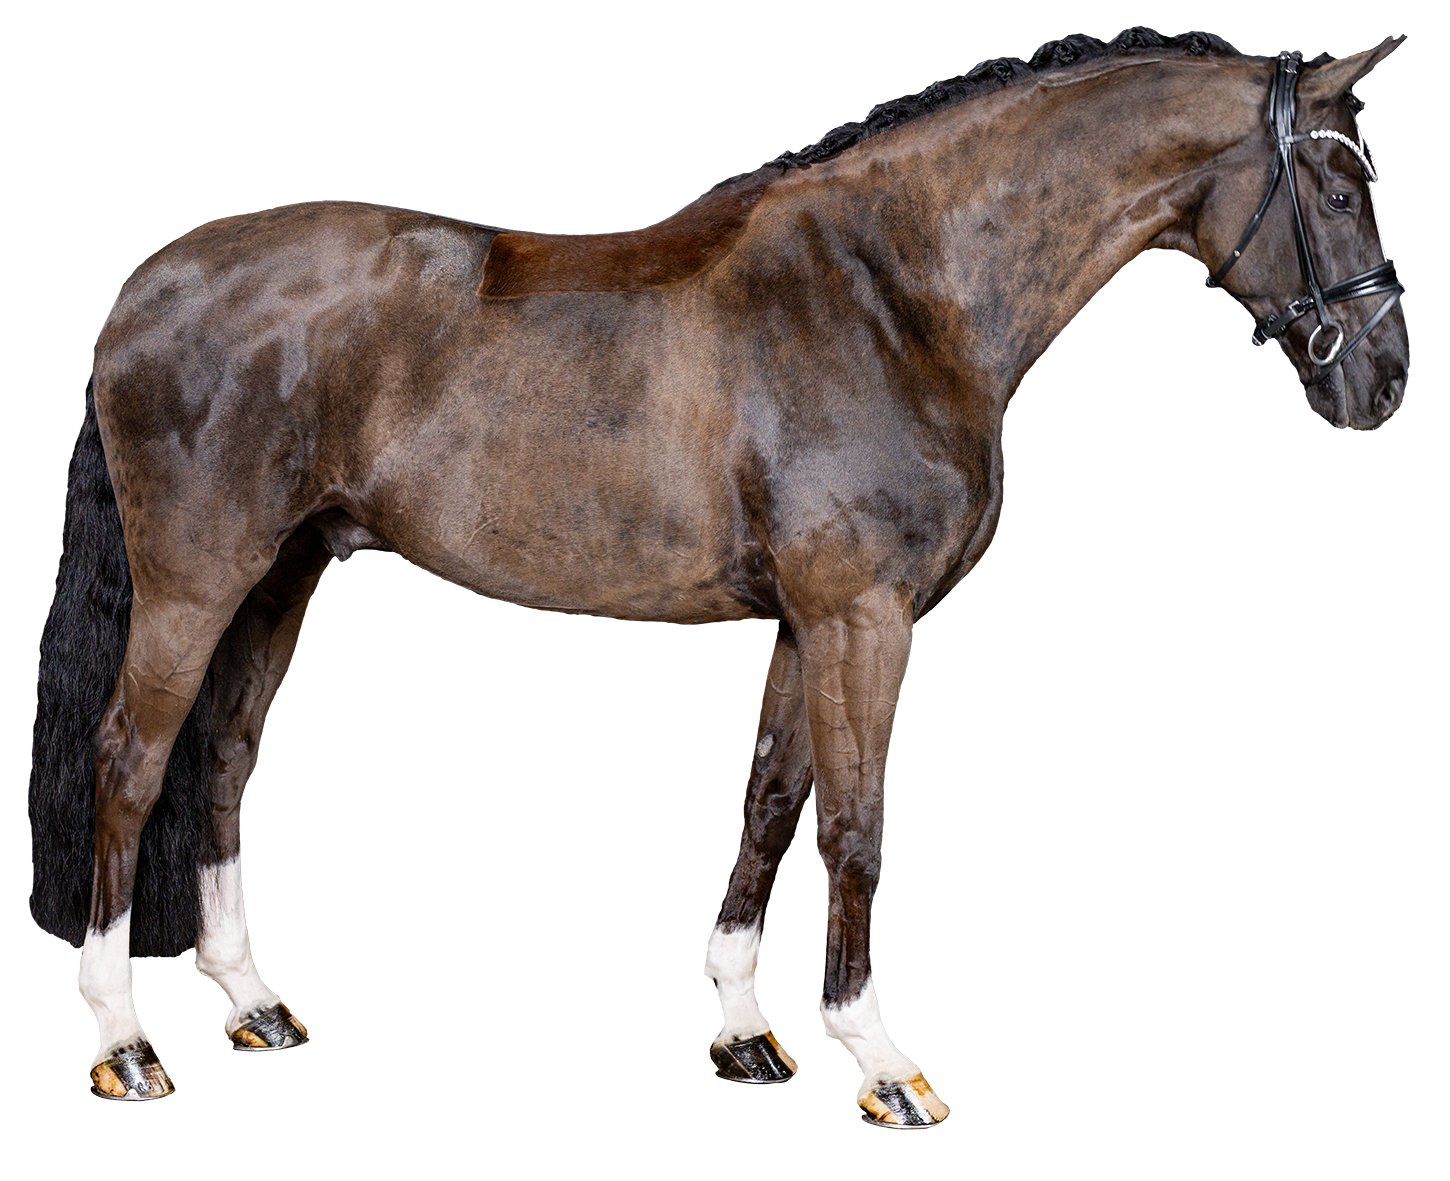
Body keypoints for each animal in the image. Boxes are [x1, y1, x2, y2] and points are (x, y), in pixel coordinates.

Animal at [27, 30, 1408, 1129]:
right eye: (1342, 183)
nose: (1383, 384)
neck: (896, 293)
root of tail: (150, 281)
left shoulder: (804, 625)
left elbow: (771, 801)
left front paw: (747, 1032)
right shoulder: (865, 619)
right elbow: (858, 824)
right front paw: (883, 1061)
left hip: (285, 578)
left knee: (225, 758)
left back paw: (250, 1003)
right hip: (196, 580)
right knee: (131, 757)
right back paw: (125, 1044)